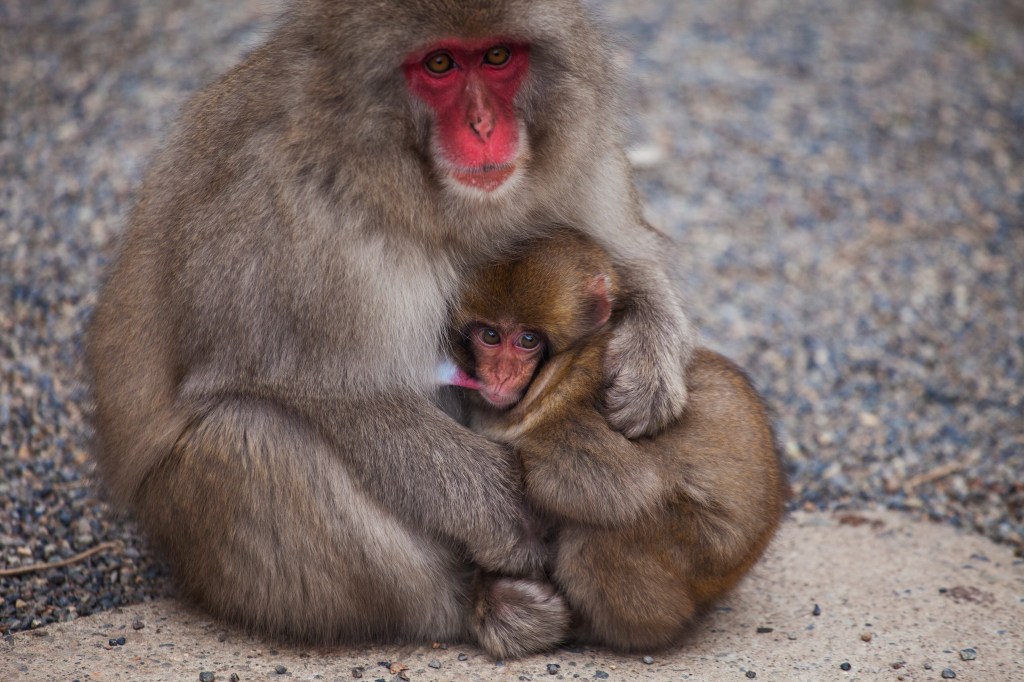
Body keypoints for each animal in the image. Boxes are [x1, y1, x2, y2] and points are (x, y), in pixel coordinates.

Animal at [87, 1, 697, 660]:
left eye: (497, 56)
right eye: (440, 64)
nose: (485, 126)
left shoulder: (580, 161)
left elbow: (629, 262)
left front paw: (651, 361)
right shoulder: (291, 216)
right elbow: (326, 390)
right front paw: (499, 508)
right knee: (250, 434)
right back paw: (473, 606)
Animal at [446, 227, 787, 651]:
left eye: (527, 341)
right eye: (490, 336)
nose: (500, 376)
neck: (557, 372)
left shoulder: (569, 411)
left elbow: (625, 489)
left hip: (693, 557)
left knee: (599, 537)